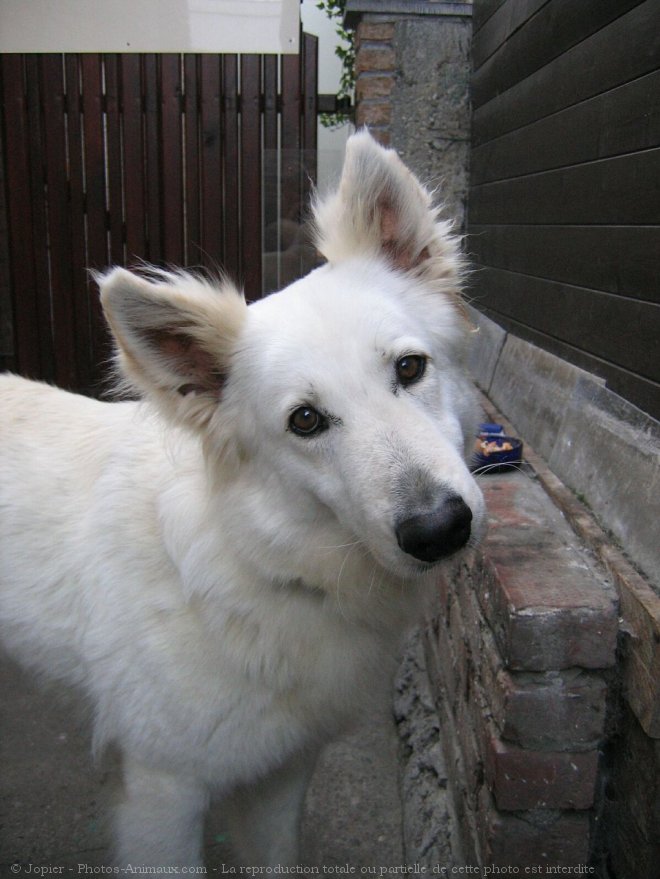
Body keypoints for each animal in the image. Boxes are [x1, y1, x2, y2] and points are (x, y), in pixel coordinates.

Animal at [0, 134, 484, 868]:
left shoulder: (281, 775)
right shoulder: (161, 794)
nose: (439, 529)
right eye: (306, 421)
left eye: (410, 367)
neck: (260, 562)